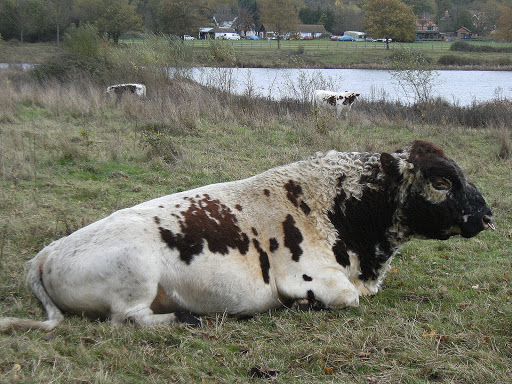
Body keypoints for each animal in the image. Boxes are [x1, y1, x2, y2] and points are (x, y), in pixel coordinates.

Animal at [1, 141, 496, 330]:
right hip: (136, 272)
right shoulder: (313, 278)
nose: (488, 215)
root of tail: (45, 253)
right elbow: (343, 299)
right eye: (441, 181)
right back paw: (185, 318)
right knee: (128, 318)